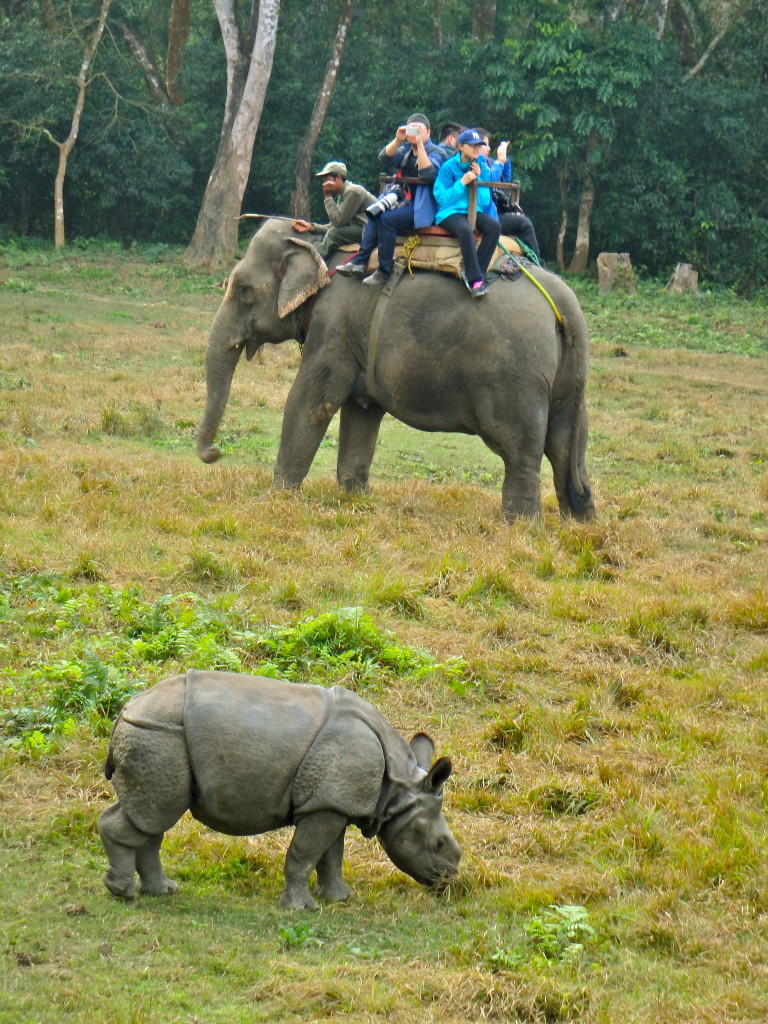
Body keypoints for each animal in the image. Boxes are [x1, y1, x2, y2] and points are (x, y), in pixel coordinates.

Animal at [98, 670, 461, 909]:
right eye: (439, 844)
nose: (448, 880)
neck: (399, 787)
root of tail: (127, 709)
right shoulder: (328, 803)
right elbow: (305, 853)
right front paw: (301, 909)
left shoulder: (332, 801)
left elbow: (331, 855)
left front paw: (340, 899)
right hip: (159, 734)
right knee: (157, 811)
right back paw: (123, 893)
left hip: (158, 737)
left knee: (152, 815)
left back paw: (161, 891)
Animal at [196, 217, 595, 521]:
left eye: (244, 290)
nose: (215, 454)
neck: (316, 244)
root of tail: (563, 301)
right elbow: (361, 411)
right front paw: (354, 498)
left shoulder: (334, 325)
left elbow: (311, 402)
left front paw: (273, 499)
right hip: (567, 376)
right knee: (567, 444)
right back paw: (579, 525)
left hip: (515, 378)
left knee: (521, 450)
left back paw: (518, 528)